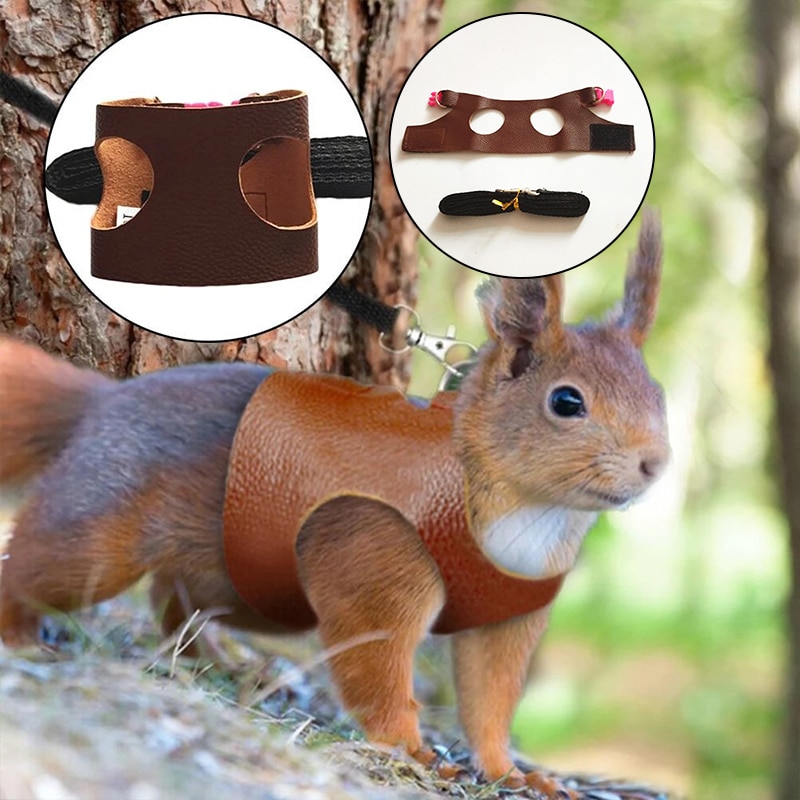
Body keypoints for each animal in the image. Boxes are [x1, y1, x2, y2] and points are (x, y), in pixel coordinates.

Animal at [0, 212, 668, 797]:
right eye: (566, 402)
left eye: (657, 392)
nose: (656, 463)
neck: (524, 509)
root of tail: (103, 402)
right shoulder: (372, 554)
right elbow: (376, 662)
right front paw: (414, 750)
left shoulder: (508, 617)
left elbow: (490, 700)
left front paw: (513, 773)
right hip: (102, 523)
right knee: (42, 565)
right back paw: (23, 636)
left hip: (241, 580)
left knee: (173, 597)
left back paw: (214, 661)